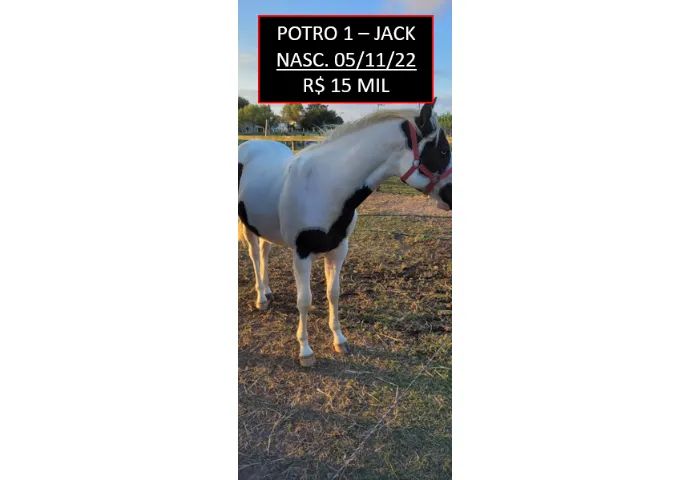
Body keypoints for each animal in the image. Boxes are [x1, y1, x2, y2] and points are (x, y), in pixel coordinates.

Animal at [238, 99, 452, 367]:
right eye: (442, 151)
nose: (452, 197)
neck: (325, 186)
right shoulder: (302, 253)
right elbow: (304, 300)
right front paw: (305, 350)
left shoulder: (339, 249)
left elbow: (334, 293)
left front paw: (339, 340)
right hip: (248, 227)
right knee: (255, 256)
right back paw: (261, 299)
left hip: (264, 226)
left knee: (265, 251)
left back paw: (267, 291)